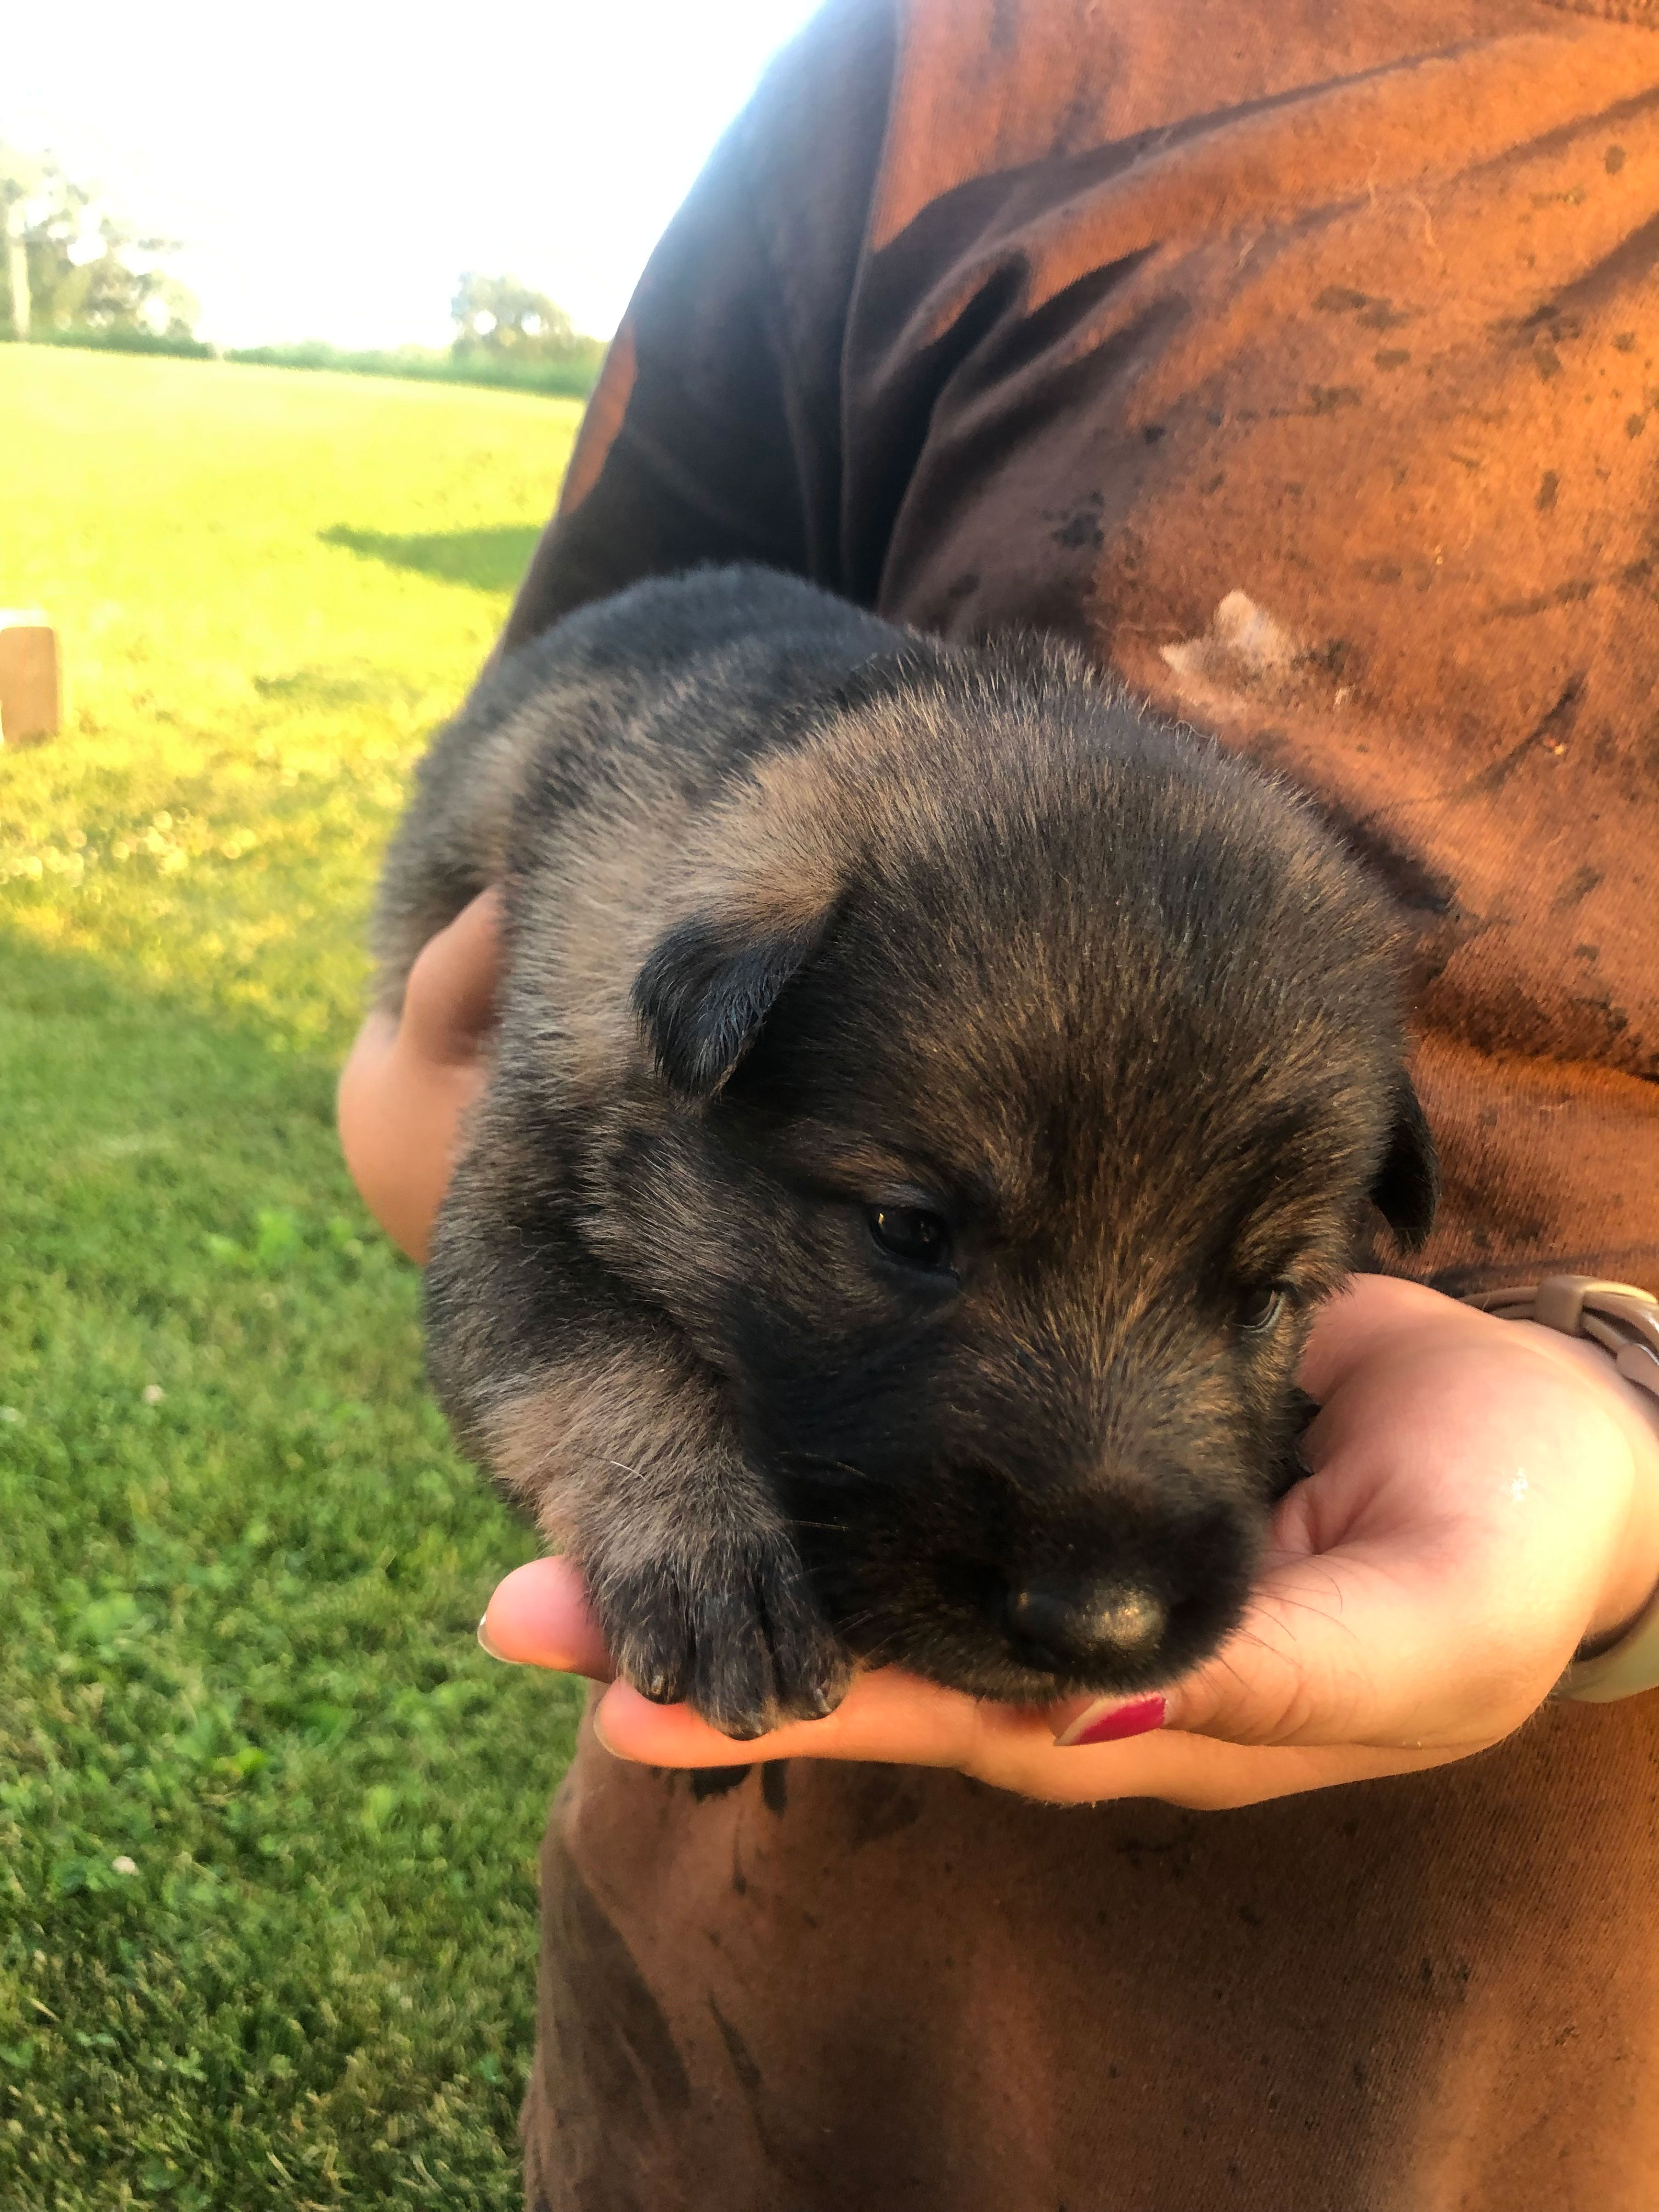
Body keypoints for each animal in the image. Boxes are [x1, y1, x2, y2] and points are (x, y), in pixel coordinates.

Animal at [369, 571, 1433, 1743]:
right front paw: (708, 1544)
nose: (1099, 1622)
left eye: (1263, 1303)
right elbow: (594, 1358)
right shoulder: (513, 1191)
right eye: (909, 1233)